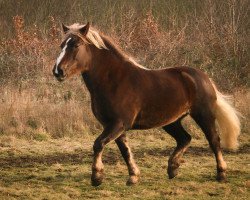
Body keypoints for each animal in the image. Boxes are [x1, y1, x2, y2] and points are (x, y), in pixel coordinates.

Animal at [52, 22, 240, 187]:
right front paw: (133, 177)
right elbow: (125, 150)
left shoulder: (119, 123)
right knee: (185, 139)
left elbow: (98, 144)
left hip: (203, 115)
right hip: (172, 121)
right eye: (62, 45)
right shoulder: (113, 126)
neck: (114, 81)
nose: (58, 71)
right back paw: (172, 169)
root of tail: (204, 77)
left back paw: (221, 174)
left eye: (76, 45)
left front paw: (97, 177)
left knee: (214, 140)